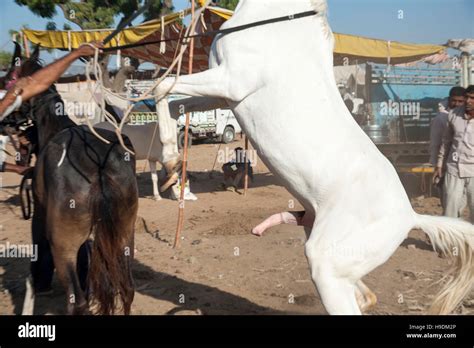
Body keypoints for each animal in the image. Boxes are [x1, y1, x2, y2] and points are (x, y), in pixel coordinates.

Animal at [5, 46, 139, 316]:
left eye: (7, 77)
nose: (7, 123)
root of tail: (100, 166)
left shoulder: (40, 217)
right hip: (124, 233)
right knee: (127, 288)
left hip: (64, 245)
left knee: (77, 302)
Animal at [157, 0, 474, 316]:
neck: (271, 15)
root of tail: (409, 217)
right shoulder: (224, 94)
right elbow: (173, 103)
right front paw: (172, 166)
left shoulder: (231, 81)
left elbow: (162, 85)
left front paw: (171, 164)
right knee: (365, 296)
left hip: (326, 266)